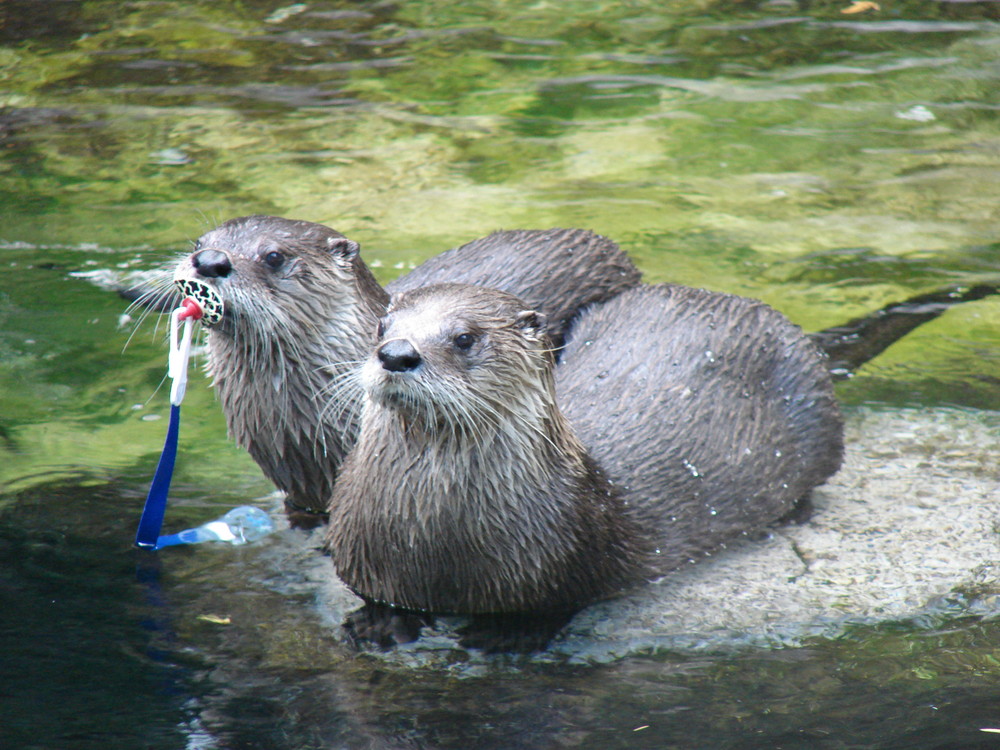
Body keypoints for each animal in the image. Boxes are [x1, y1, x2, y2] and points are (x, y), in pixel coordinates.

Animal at [328, 284, 844, 652]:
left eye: (465, 337)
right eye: (381, 326)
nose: (396, 354)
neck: (437, 537)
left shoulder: (563, 552)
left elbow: (554, 605)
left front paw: (506, 633)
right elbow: (375, 595)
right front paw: (381, 622)